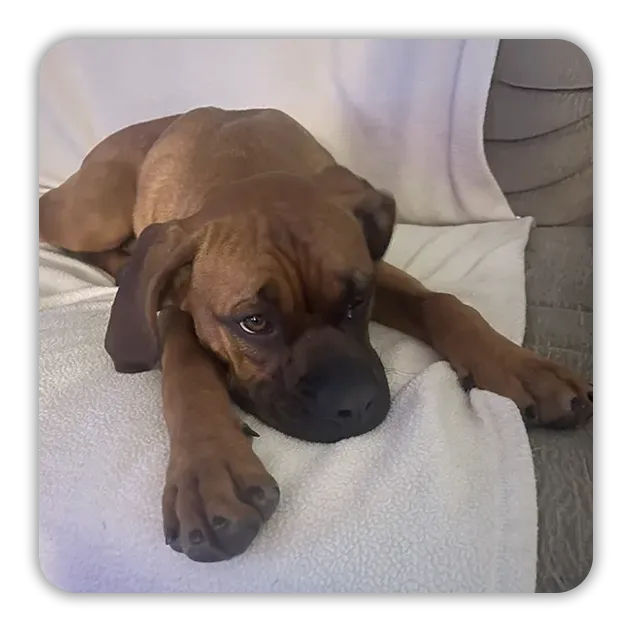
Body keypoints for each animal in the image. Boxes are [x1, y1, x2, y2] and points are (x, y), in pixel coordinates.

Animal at [39, 107, 592, 564]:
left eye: (357, 301)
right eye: (254, 323)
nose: (356, 407)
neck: (241, 168)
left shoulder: (376, 268)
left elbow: (442, 303)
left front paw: (523, 367)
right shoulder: (180, 304)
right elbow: (185, 368)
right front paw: (208, 467)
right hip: (93, 215)